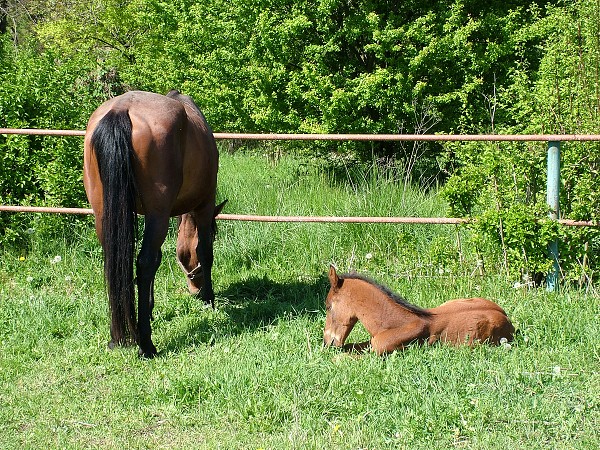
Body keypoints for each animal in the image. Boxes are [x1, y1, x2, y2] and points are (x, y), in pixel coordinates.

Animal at [82, 89, 225, 358]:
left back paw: (118, 337)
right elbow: (204, 252)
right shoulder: (203, 205)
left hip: (103, 213)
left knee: (116, 261)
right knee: (145, 263)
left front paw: (148, 309)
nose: (195, 290)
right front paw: (210, 299)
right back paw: (146, 344)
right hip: (158, 214)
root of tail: (121, 109)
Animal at [324, 264, 516, 356]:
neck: (397, 322)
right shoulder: (372, 343)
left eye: (327, 306)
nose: (326, 343)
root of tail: (508, 320)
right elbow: (351, 347)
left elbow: (341, 358)